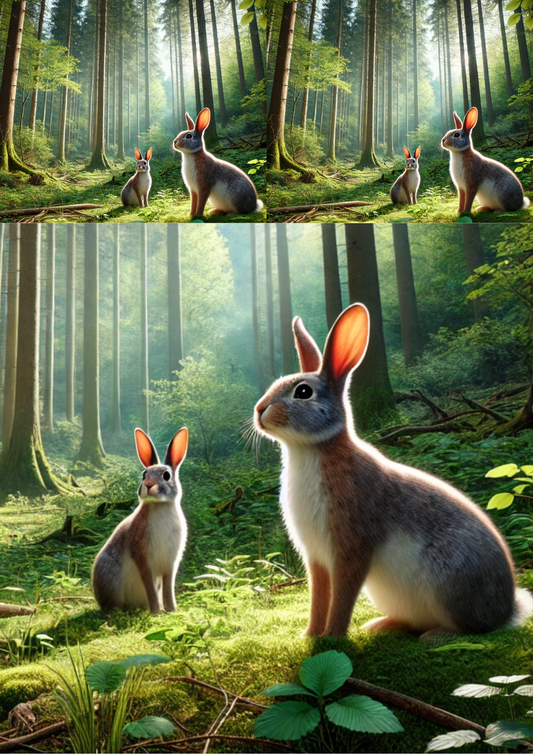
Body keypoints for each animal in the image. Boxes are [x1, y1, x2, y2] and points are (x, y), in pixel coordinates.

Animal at [92, 427, 188, 614]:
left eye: (166, 475)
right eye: (144, 474)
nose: (148, 485)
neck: (159, 506)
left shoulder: (170, 564)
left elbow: (168, 588)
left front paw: (171, 610)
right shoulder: (143, 560)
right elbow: (150, 587)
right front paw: (156, 612)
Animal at [253, 304, 533, 638]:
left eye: (303, 392)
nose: (259, 410)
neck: (312, 449)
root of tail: (507, 609)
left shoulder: (351, 548)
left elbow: (342, 597)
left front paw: (333, 637)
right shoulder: (317, 558)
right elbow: (319, 598)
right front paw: (309, 636)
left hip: (450, 581)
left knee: (472, 628)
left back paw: (435, 637)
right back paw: (380, 625)